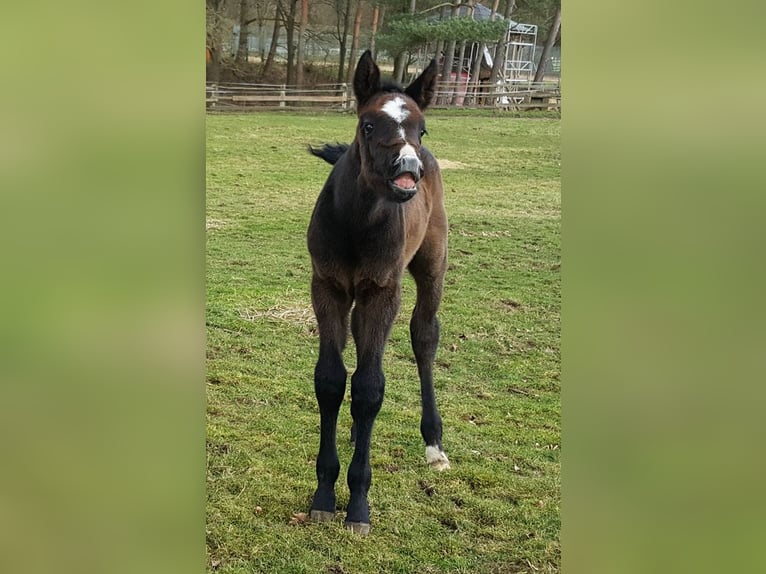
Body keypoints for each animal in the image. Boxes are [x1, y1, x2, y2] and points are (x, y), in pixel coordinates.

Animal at [306, 49, 450, 536]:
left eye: (421, 128)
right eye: (368, 125)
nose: (408, 172)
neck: (356, 226)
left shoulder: (383, 292)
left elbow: (370, 388)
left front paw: (357, 505)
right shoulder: (328, 287)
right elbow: (331, 380)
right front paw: (323, 496)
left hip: (431, 264)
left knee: (425, 336)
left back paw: (435, 445)